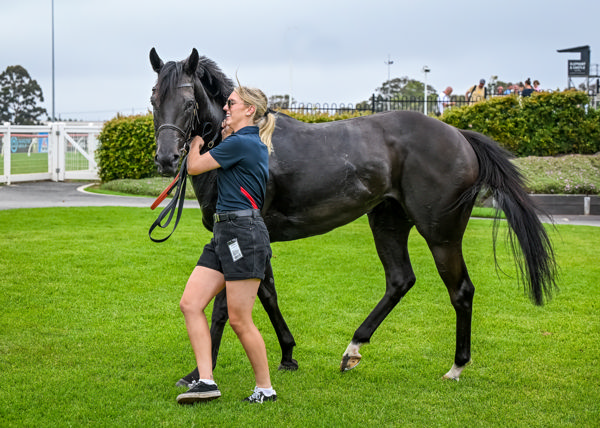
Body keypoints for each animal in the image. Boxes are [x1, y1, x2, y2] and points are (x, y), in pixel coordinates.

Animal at [150, 48, 556, 382]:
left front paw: (199, 373)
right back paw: (353, 349)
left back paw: (456, 366)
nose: (166, 158)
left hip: (441, 233)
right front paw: (287, 354)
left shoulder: (233, 234)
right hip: (388, 221)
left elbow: (224, 306)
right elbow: (267, 293)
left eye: (189, 102)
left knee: (461, 290)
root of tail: (458, 135)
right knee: (400, 280)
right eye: (154, 98)